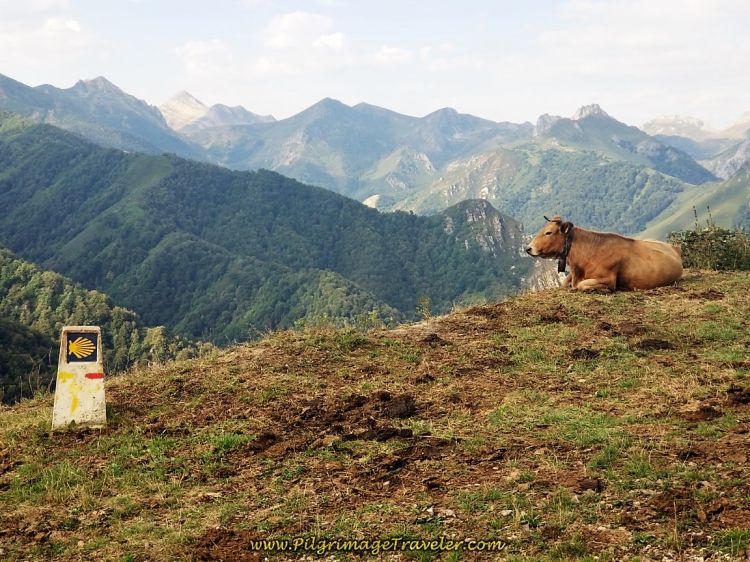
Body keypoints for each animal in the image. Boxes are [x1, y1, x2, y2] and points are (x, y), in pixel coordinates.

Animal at [524, 215, 684, 290]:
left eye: (548, 232)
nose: (528, 248)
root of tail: (674, 247)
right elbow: (564, 283)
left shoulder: (608, 278)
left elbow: (582, 285)